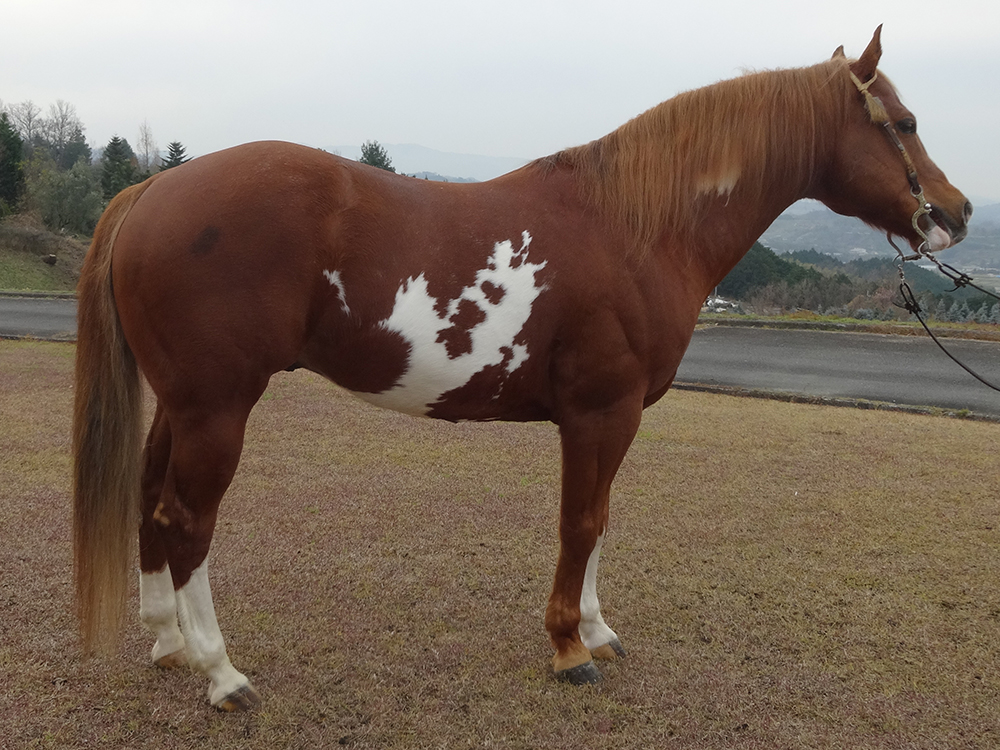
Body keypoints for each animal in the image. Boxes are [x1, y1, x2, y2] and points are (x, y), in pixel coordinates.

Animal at [76, 27, 968, 712]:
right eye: (906, 119)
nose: (955, 213)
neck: (635, 227)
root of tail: (154, 188)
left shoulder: (614, 419)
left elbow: (601, 519)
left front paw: (598, 632)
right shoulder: (601, 412)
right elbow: (579, 522)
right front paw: (570, 648)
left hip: (184, 403)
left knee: (151, 500)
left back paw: (168, 644)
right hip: (219, 406)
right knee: (189, 520)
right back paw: (221, 673)